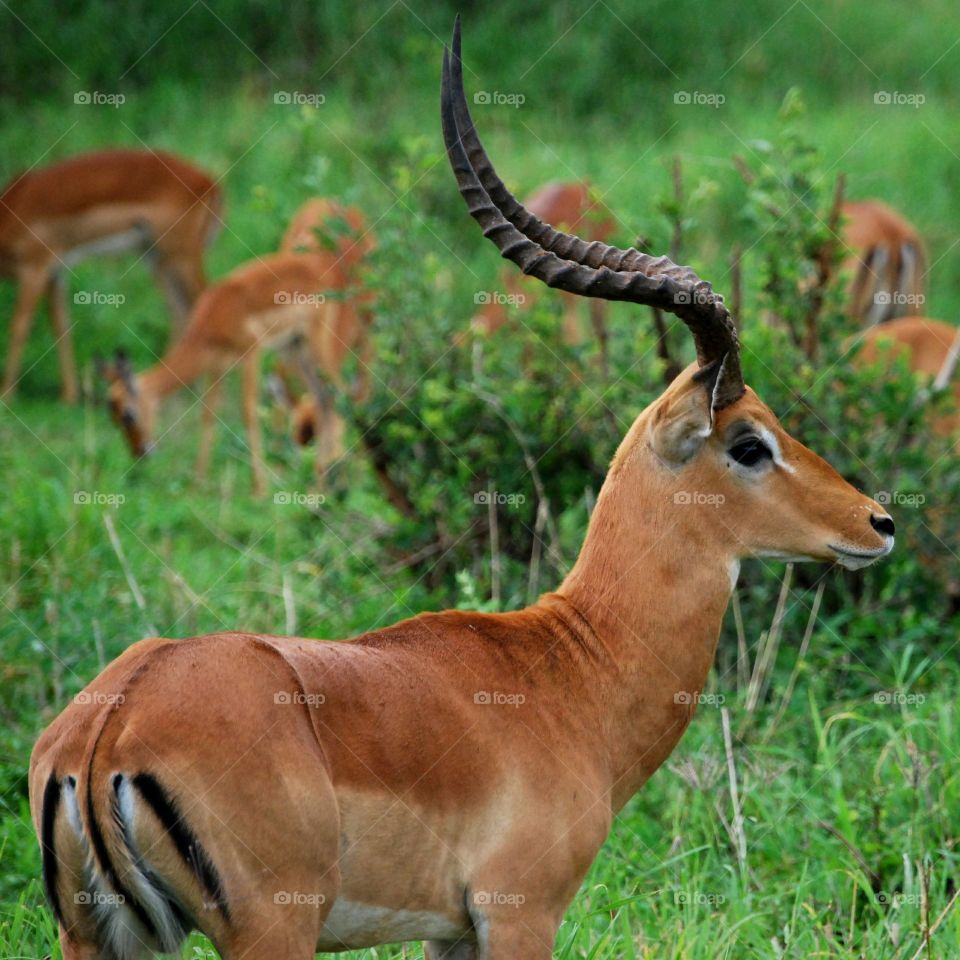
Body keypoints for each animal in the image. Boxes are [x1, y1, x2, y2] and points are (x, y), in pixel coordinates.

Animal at [0, 148, 222, 404]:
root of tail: (210, 183)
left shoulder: (34, 268)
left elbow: (19, 326)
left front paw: (6, 395)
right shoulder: (55, 274)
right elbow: (62, 327)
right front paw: (69, 396)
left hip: (181, 257)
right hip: (158, 260)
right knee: (180, 313)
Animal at [100, 206, 373, 494]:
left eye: (128, 415)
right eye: (113, 416)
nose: (140, 452)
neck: (213, 316)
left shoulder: (251, 354)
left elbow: (249, 414)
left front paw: (259, 490)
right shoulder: (216, 364)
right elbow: (207, 415)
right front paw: (197, 484)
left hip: (318, 351)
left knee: (344, 397)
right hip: (296, 352)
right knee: (325, 402)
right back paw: (323, 483)